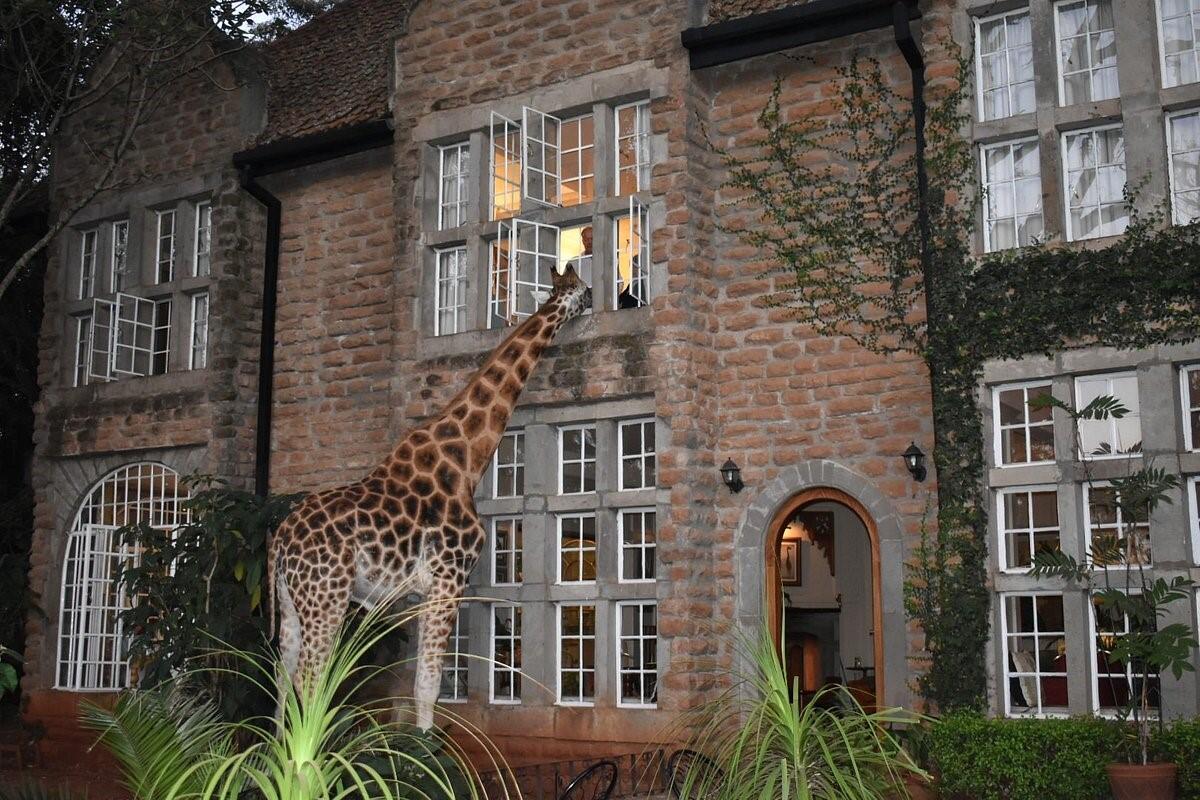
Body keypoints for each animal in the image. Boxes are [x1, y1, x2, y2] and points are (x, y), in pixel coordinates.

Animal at [267, 265, 591, 730]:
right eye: (580, 289)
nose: (594, 299)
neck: (467, 459)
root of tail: (280, 541)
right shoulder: (449, 578)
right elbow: (430, 684)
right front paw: (425, 748)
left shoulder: (421, 592)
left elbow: (423, 679)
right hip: (328, 594)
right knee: (309, 676)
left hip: (292, 601)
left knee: (280, 672)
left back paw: (280, 749)